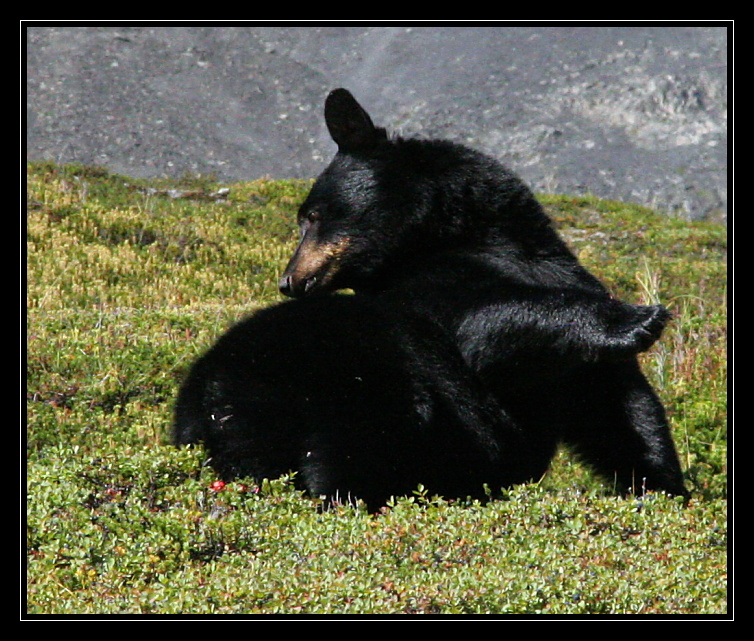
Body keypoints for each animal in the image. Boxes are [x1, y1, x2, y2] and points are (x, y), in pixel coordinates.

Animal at [278, 87, 688, 498]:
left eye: (310, 217)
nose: (288, 280)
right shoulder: (418, 293)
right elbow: (483, 321)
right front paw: (636, 320)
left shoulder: (557, 272)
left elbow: (617, 408)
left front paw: (660, 488)